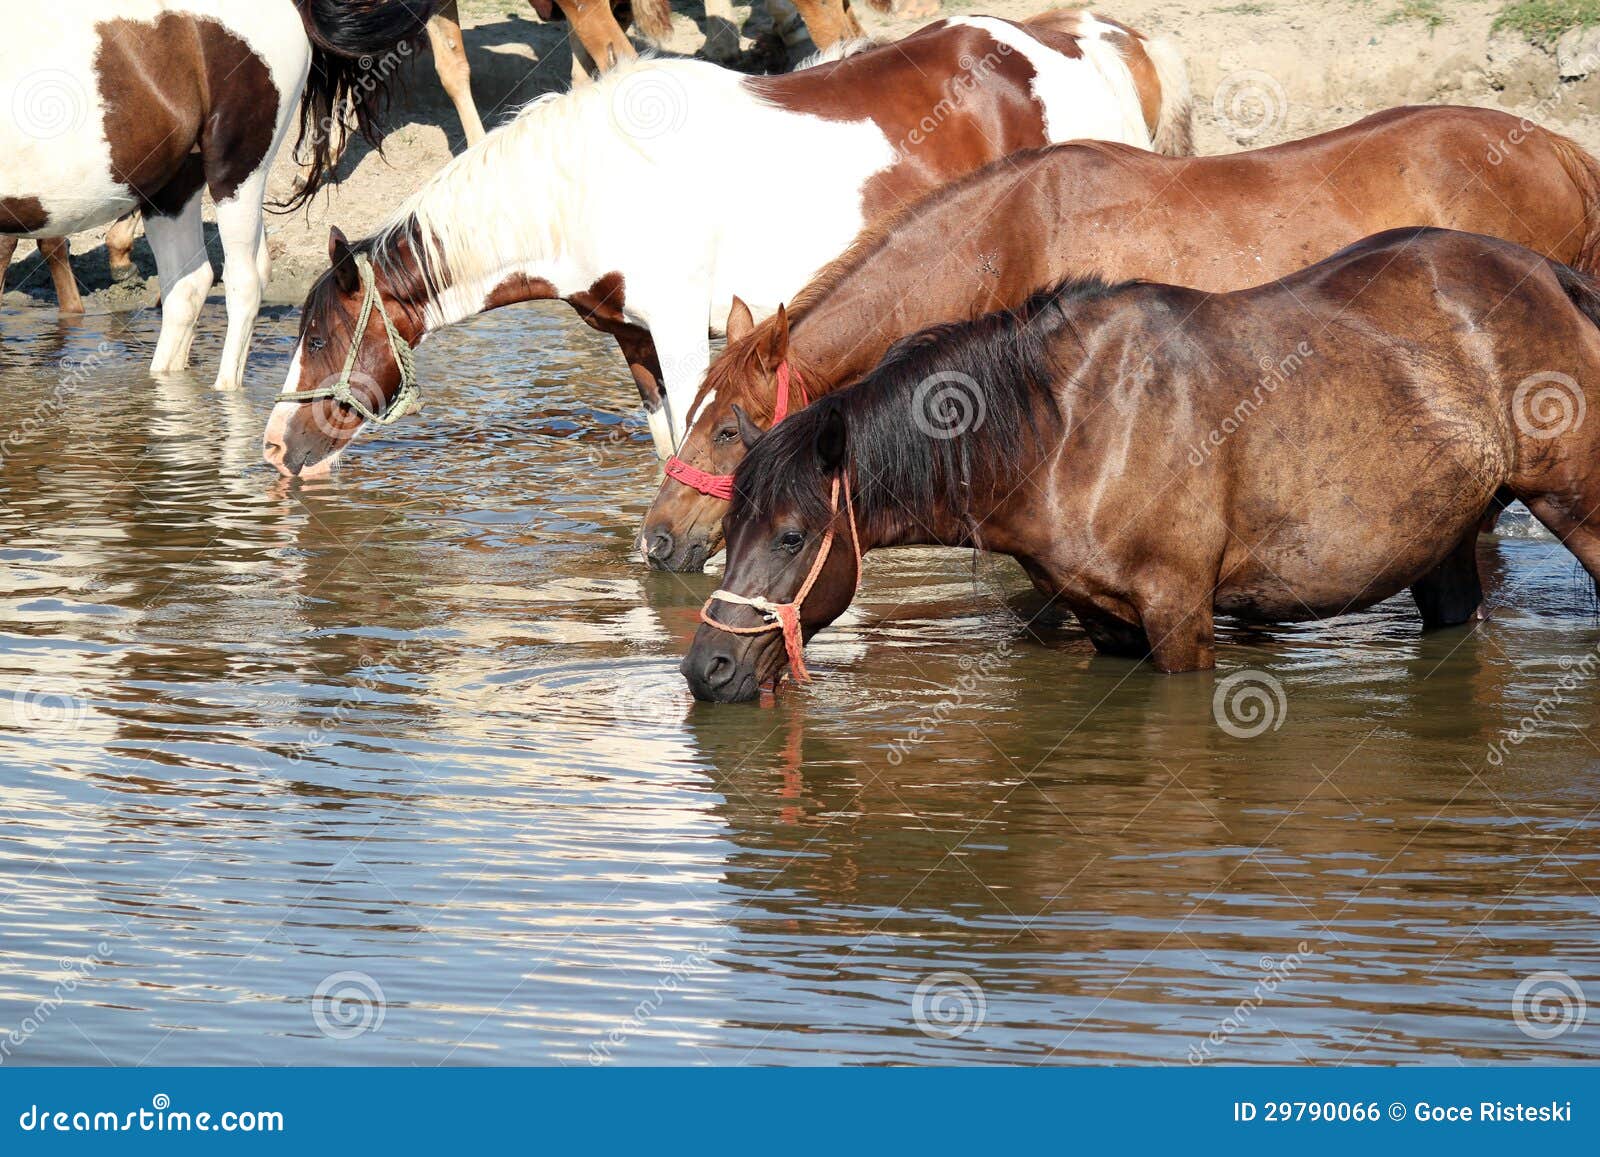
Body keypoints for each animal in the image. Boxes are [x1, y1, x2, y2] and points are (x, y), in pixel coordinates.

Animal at [260, 10, 1193, 476]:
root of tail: (1105, 43)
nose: (271, 445)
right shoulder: (633, 341)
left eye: (322, 335)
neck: (593, 179)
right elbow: (670, 447)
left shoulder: (682, 332)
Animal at [680, 227, 1600, 701]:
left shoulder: (1180, 615)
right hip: (1443, 544)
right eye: (732, 525)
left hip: (1579, 510)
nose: (705, 668)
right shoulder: (1106, 622)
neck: (1062, 430)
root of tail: (1554, 278)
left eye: (793, 536)